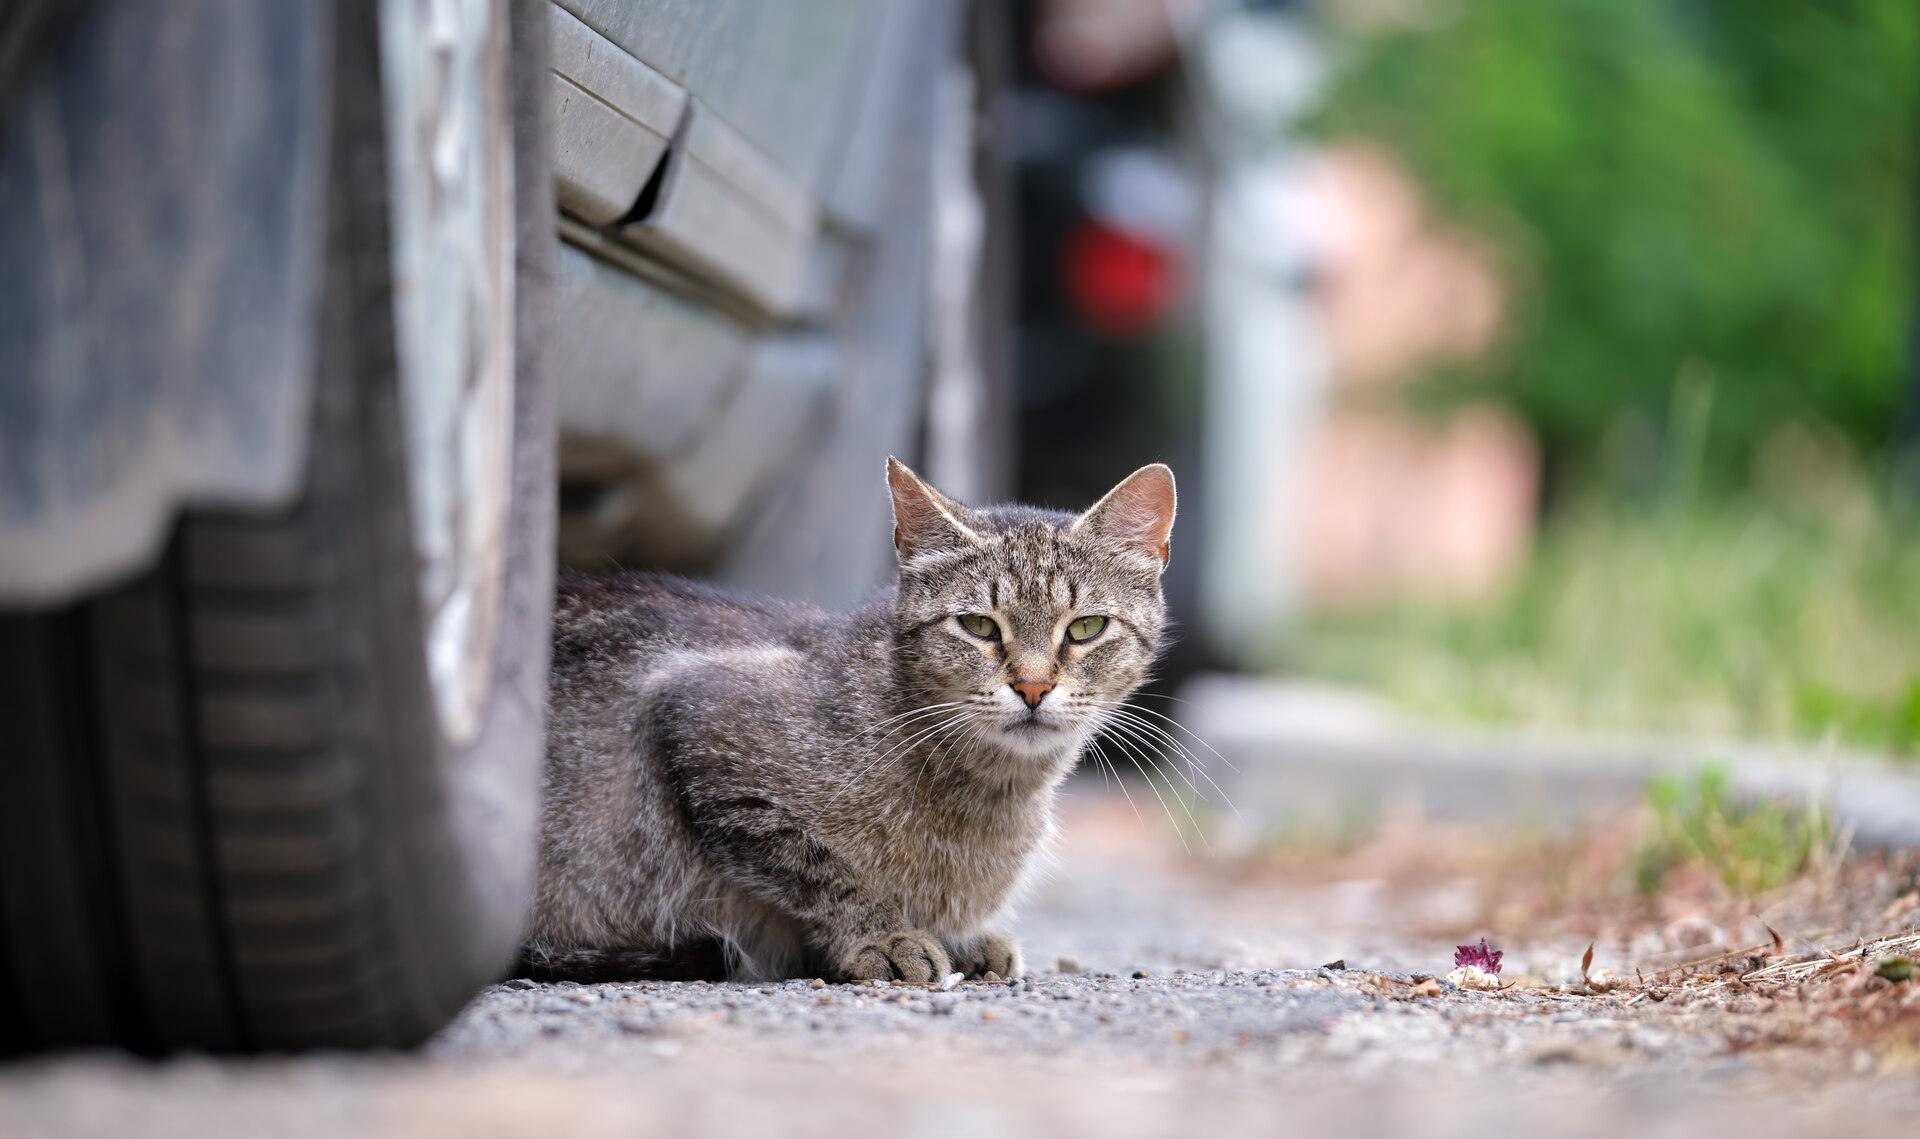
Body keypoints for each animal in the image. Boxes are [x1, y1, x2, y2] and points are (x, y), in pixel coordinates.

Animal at [526, 457, 1175, 983]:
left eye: (1086, 627)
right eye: (978, 626)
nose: (1034, 687)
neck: (997, 791)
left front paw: (963, 939)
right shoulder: (697, 716)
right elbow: (820, 868)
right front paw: (885, 936)